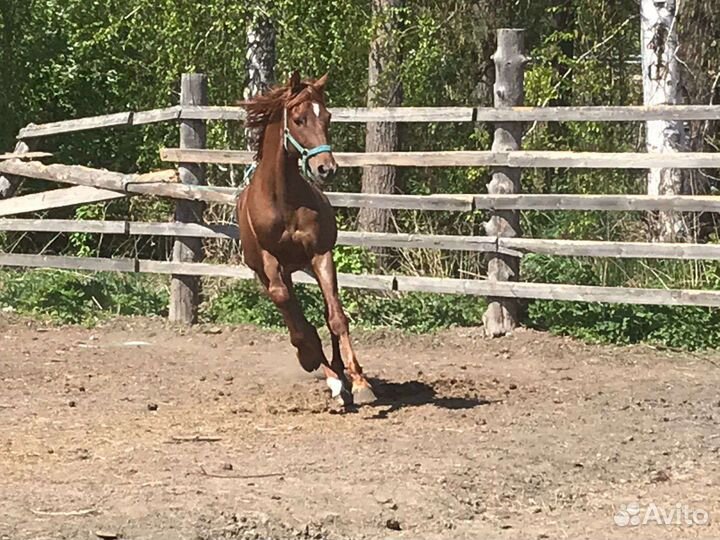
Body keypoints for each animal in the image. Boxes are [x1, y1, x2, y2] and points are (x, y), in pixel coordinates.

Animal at [236, 71, 376, 407]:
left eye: (327, 117)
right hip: (267, 272)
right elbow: (294, 315)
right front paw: (313, 360)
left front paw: (359, 381)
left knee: (326, 313)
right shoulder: (269, 261)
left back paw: (340, 374)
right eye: (299, 119)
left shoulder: (320, 254)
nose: (326, 168)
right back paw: (325, 371)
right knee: (289, 308)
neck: (283, 199)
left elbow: (336, 318)